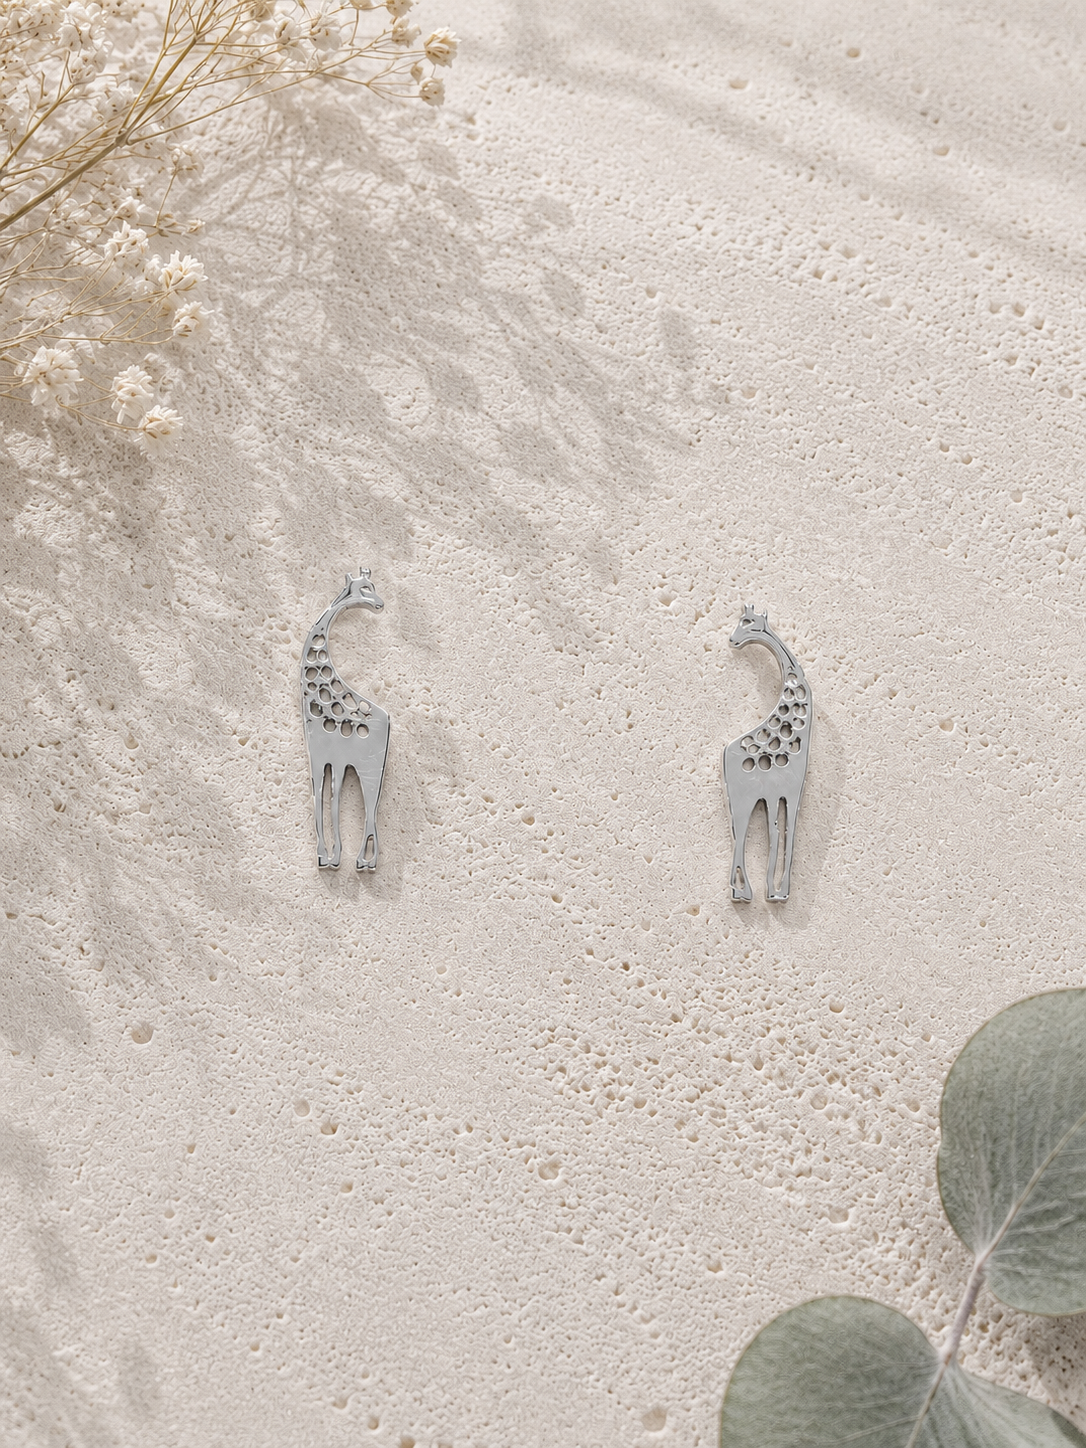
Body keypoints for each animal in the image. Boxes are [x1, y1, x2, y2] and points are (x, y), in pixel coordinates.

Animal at [301, 567, 390, 870]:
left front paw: (329, 855)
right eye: (365, 588)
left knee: (372, 807)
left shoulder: (332, 757)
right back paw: (364, 860)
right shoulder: (325, 755)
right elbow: (327, 797)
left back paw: (366, 861)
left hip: (371, 764)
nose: (380, 605)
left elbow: (328, 799)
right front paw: (329, 856)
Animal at [723, 607, 812, 903]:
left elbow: (782, 831)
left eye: (749, 622)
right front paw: (775, 891)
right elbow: (777, 832)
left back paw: (742, 891)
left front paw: (776, 892)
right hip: (742, 794)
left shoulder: (787, 791)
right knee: (739, 834)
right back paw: (742, 892)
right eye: (742, 621)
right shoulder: (777, 791)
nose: (733, 639)